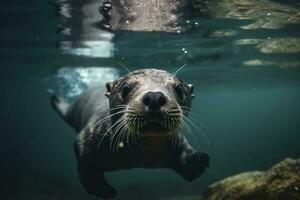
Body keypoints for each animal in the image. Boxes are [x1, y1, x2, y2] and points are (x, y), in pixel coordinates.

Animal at [51, 68, 209, 198]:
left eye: (179, 89)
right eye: (125, 88)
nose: (154, 96)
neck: (137, 155)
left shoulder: (176, 140)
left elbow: (184, 151)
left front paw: (196, 162)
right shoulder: (87, 139)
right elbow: (86, 168)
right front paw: (104, 191)